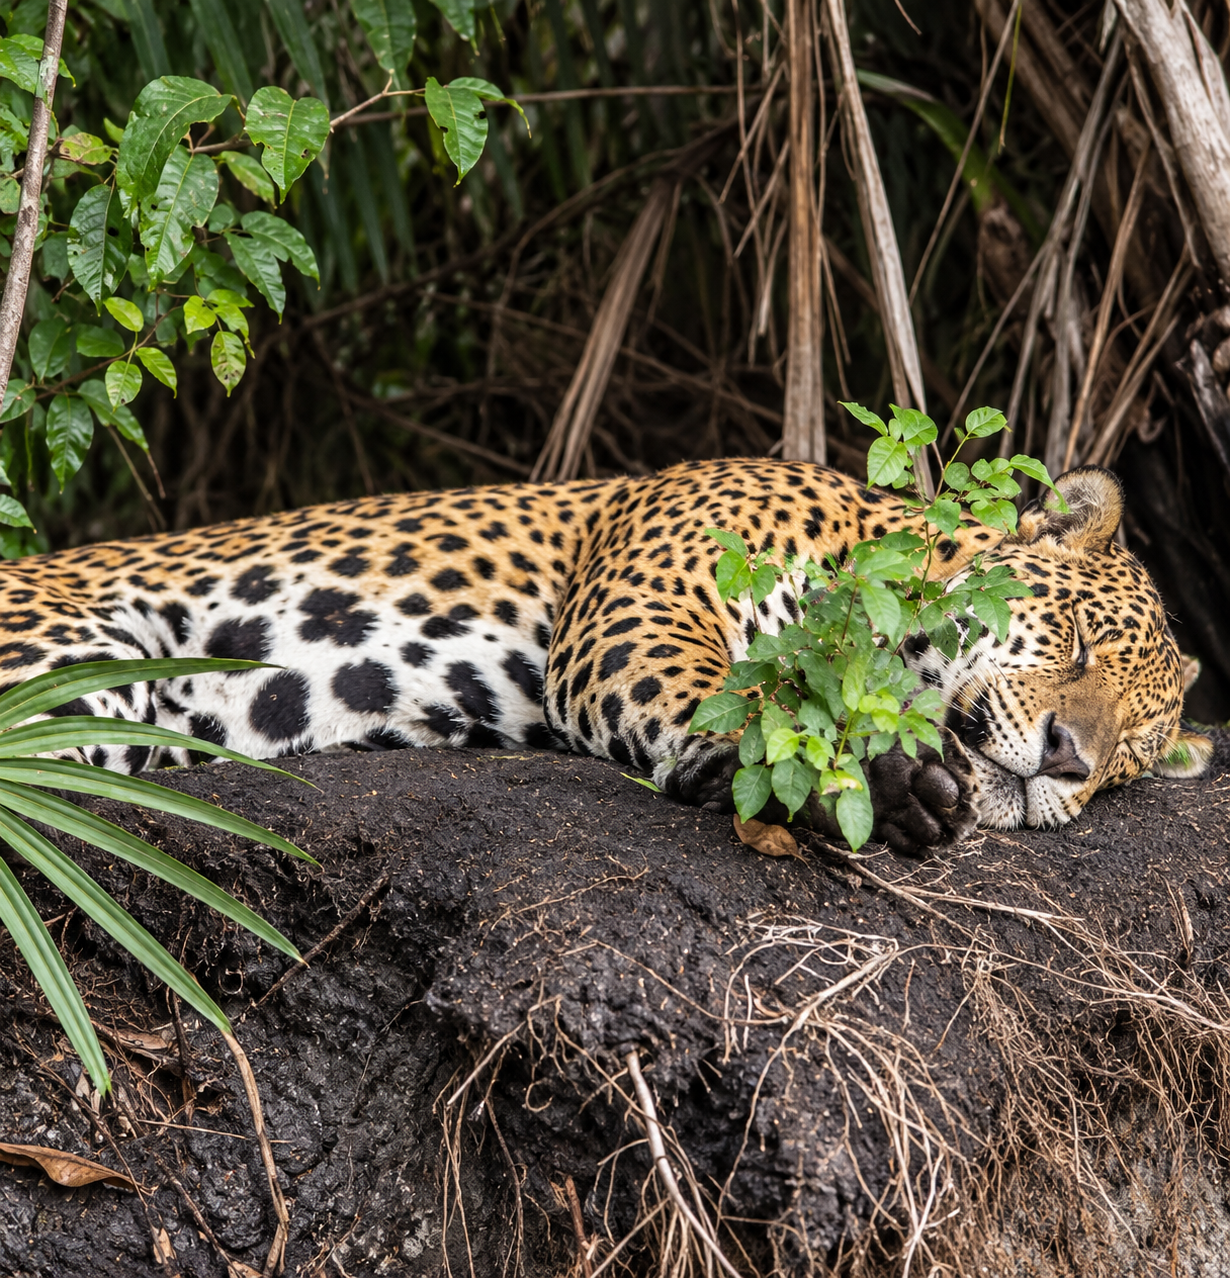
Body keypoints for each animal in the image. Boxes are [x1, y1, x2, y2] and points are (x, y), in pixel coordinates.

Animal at [0, 457, 1210, 855]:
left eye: (1132, 760)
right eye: (1077, 642)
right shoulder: (641, 612)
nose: (1068, 758)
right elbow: (739, 705)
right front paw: (873, 784)